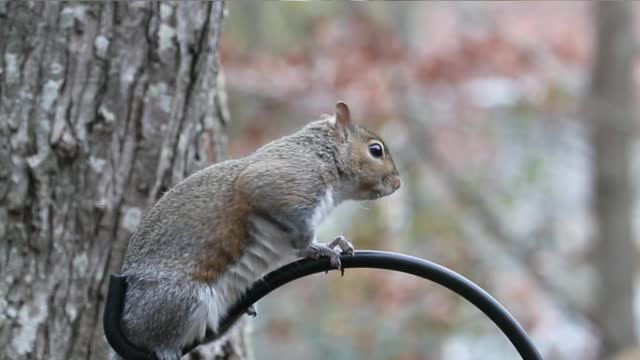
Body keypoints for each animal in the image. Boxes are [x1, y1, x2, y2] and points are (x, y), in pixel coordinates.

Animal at [116, 102, 400, 360]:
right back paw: (164, 349)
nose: (397, 183)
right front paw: (321, 247)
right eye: (376, 150)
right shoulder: (290, 181)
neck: (323, 155)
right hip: (179, 300)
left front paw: (332, 243)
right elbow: (297, 233)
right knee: (155, 337)